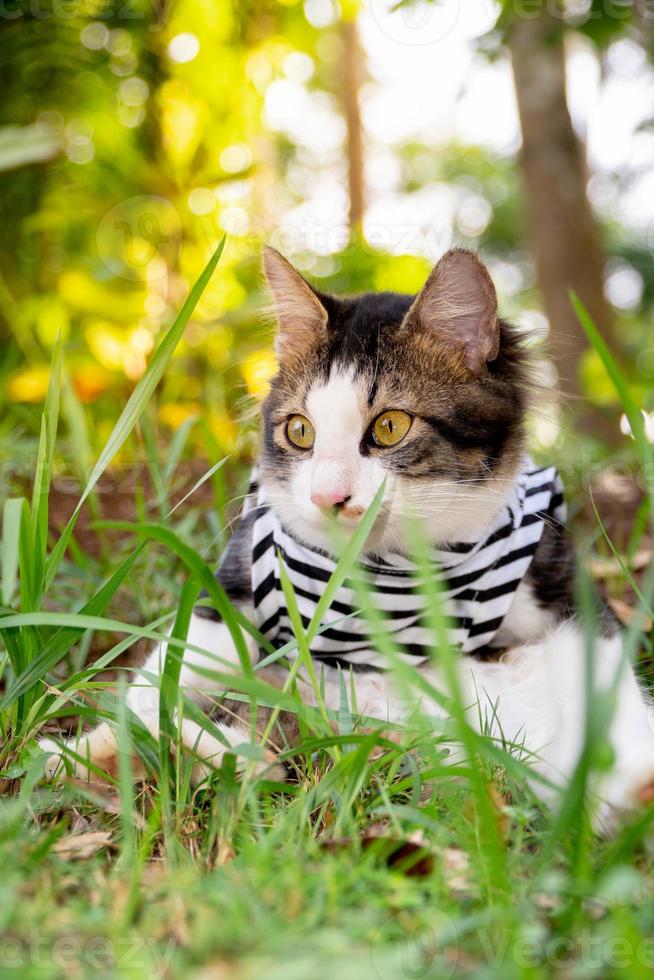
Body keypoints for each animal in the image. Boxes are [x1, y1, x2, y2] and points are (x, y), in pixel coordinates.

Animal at [39, 247, 654, 836]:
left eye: (389, 427)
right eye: (300, 431)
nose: (326, 496)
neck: (393, 575)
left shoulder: (564, 589)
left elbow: (612, 688)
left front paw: (630, 780)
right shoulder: (233, 586)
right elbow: (161, 677)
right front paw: (73, 751)